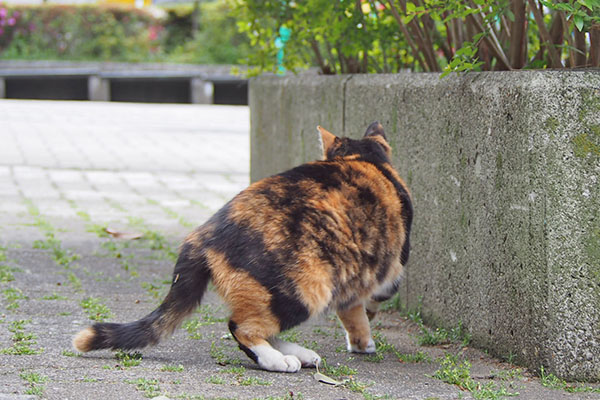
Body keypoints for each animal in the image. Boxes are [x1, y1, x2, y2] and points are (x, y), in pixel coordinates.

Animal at [72, 121, 412, 372]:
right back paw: (278, 361)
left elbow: (350, 309)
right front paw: (364, 339)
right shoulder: (391, 266)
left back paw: (298, 354)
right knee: (243, 327)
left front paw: (359, 338)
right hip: (306, 289)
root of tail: (203, 234)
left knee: (263, 326)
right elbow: (374, 299)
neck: (362, 159)